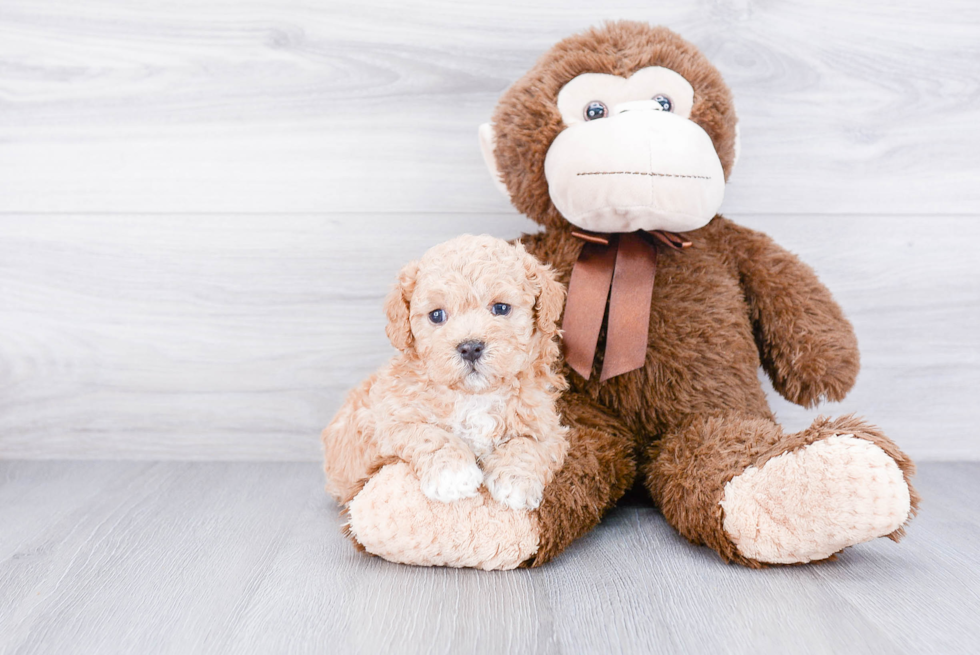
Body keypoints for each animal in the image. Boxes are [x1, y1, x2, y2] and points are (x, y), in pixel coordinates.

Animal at [324, 236, 568, 512]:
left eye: (501, 308)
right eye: (437, 315)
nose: (470, 347)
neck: (474, 396)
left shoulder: (547, 425)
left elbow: (528, 443)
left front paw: (516, 482)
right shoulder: (390, 420)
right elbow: (431, 435)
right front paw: (454, 475)